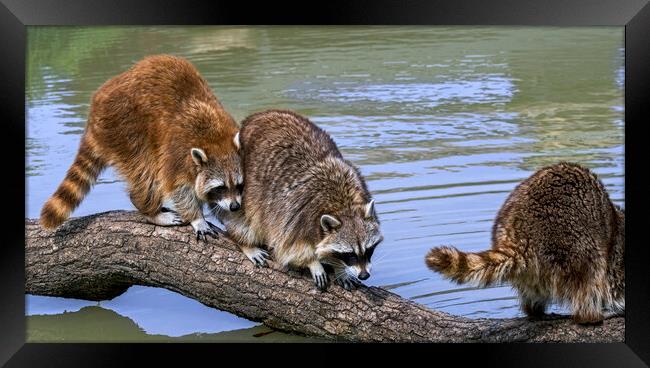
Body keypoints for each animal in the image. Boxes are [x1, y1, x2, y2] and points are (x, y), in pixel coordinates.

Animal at [40, 54, 243, 239]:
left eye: (239, 185)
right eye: (220, 187)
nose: (235, 207)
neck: (216, 141)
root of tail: (95, 109)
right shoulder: (177, 153)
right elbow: (178, 188)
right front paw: (197, 218)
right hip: (125, 129)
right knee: (147, 175)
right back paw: (150, 210)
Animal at [426, 162, 624, 324]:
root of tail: (521, 237)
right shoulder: (616, 262)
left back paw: (535, 311)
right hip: (575, 242)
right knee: (590, 278)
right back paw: (590, 316)